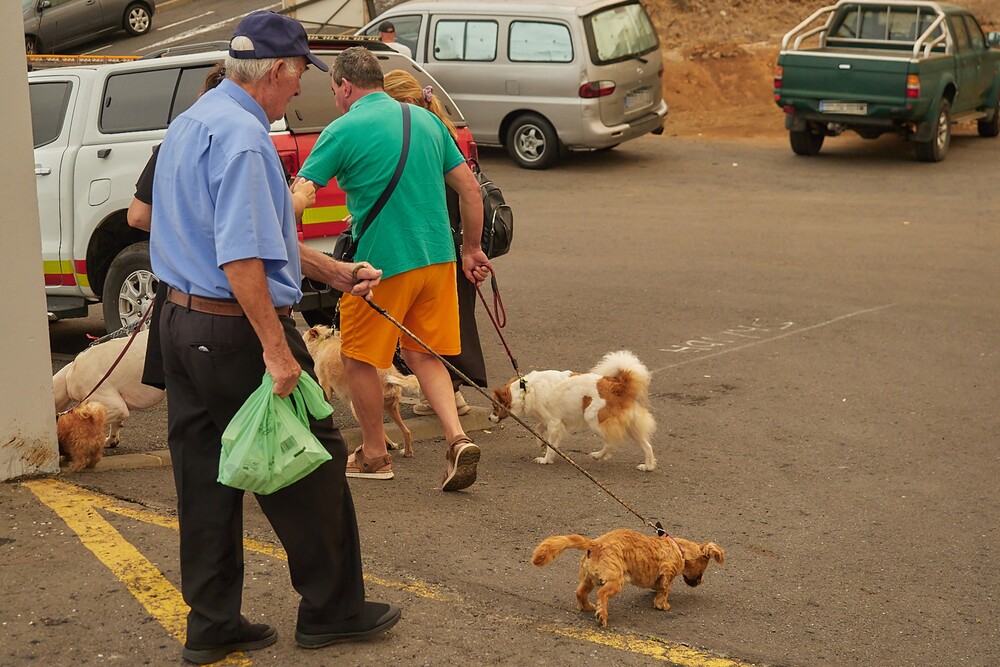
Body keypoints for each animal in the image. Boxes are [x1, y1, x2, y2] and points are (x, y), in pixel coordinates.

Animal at [298, 324, 420, 460]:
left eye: (302, 340)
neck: (323, 342)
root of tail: (390, 374)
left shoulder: (325, 387)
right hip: (390, 407)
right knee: (406, 432)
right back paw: (405, 451)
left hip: (357, 406)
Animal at [490, 352, 656, 472]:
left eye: (494, 406)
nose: (489, 418)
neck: (525, 390)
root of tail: (619, 385)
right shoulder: (552, 421)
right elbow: (539, 429)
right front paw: (541, 443)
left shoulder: (554, 423)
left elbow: (550, 444)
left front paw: (546, 459)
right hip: (632, 426)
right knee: (647, 446)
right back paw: (648, 466)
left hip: (594, 419)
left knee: (611, 443)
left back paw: (598, 456)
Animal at [536, 528, 724, 628]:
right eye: (703, 569)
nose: (700, 582)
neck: (678, 548)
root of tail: (596, 544)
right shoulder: (667, 572)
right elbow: (665, 589)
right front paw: (662, 604)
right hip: (615, 581)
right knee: (601, 594)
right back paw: (602, 615)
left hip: (589, 578)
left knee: (580, 592)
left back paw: (588, 606)